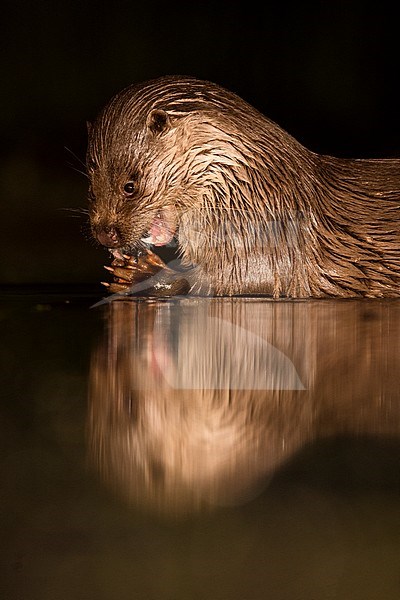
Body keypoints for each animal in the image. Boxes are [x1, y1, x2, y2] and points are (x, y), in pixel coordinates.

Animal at [87, 75, 400, 298]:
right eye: (91, 189)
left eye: (130, 186)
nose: (105, 234)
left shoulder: (265, 243)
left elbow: (228, 281)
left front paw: (140, 274)